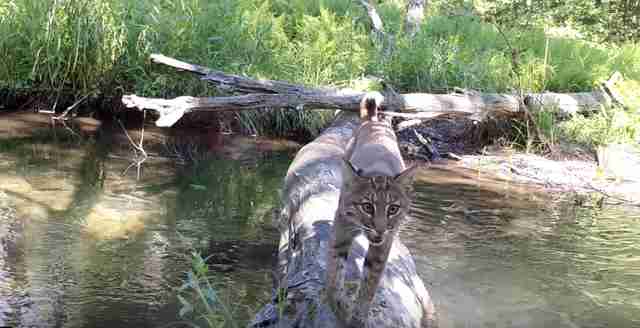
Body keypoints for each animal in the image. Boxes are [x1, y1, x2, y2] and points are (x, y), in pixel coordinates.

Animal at [328, 91, 418, 326]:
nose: (380, 229)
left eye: (393, 209)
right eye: (367, 207)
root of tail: (374, 120)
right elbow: (335, 270)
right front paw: (335, 304)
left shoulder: (384, 244)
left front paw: (359, 317)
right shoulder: (342, 227)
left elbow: (370, 283)